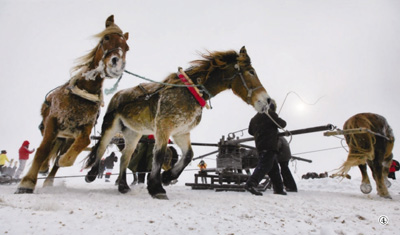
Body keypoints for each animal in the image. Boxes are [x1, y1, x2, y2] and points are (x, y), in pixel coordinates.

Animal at [15, 15, 130, 195]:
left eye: (127, 48)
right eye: (106, 38)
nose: (116, 64)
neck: (82, 94)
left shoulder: (83, 129)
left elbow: (77, 148)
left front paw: (63, 161)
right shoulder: (52, 122)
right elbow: (42, 150)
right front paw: (26, 183)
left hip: (67, 138)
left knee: (56, 154)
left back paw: (49, 178)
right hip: (54, 131)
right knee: (47, 148)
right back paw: (43, 167)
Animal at [84, 46, 272, 198]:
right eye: (251, 72)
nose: (268, 101)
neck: (191, 93)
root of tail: (118, 95)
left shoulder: (181, 132)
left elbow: (188, 155)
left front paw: (167, 177)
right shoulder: (163, 128)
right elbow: (159, 155)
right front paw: (156, 187)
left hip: (133, 133)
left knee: (125, 156)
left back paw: (123, 185)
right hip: (111, 125)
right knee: (101, 147)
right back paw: (92, 174)